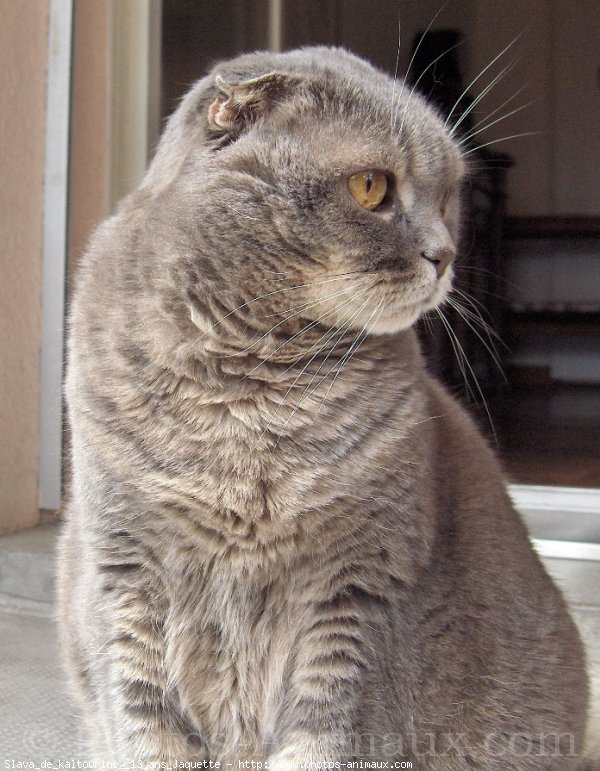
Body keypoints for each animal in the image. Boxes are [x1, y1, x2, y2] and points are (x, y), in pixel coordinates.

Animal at [58, 48, 592, 771]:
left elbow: (326, 737)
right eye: (371, 187)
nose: (445, 254)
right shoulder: (124, 576)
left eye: (449, 196)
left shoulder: (359, 592)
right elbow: (144, 728)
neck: (245, 400)